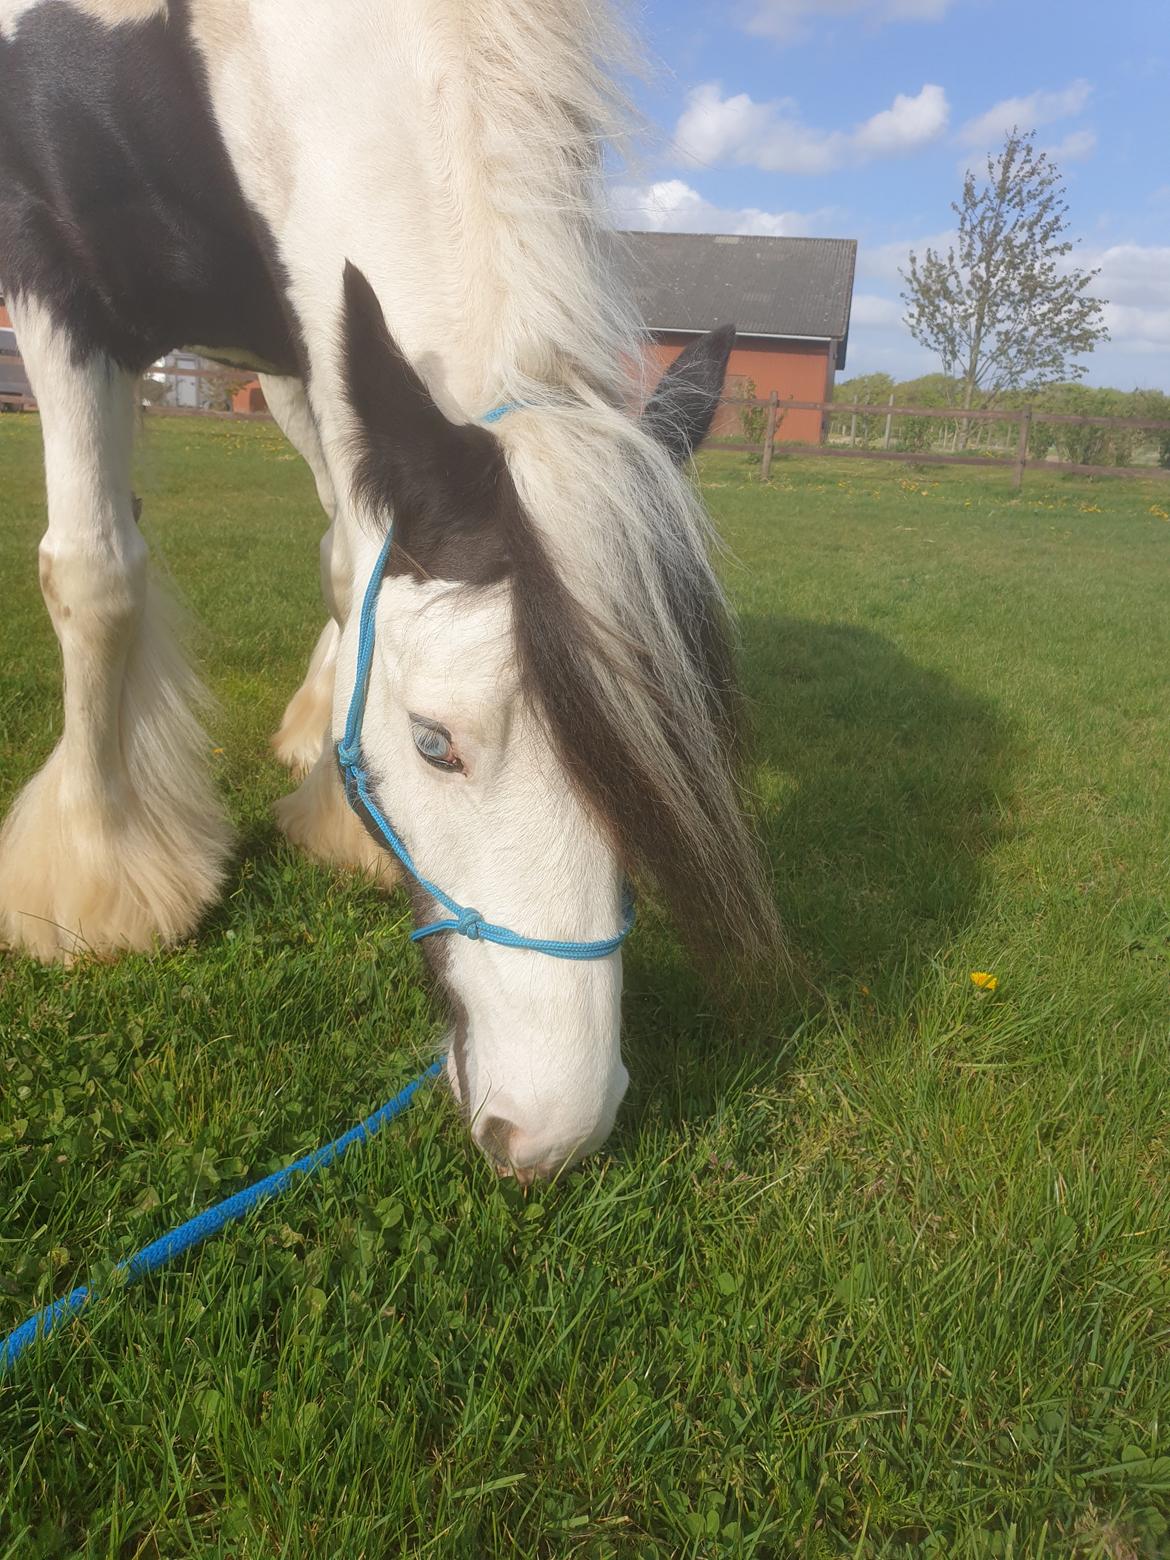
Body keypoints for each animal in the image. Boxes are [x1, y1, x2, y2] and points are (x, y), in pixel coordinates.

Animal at [2, 0, 789, 1173]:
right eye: (432, 743)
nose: (550, 1132)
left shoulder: (312, 326)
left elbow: (350, 563)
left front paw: (335, 810)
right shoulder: (55, 274)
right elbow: (97, 573)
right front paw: (97, 886)